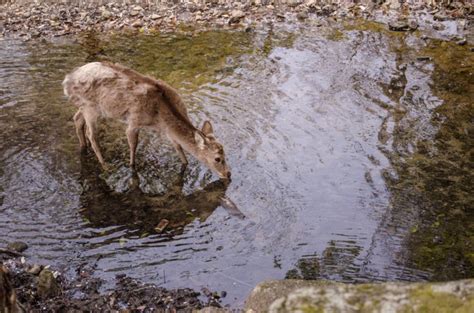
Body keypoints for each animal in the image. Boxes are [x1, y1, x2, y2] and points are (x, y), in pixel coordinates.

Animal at [62, 62, 232, 179]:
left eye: (226, 153)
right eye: (217, 158)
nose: (228, 174)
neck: (159, 119)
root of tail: (66, 80)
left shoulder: (169, 132)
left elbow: (178, 148)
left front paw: (185, 164)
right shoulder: (134, 121)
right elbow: (133, 145)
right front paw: (132, 167)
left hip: (86, 107)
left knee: (77, 119)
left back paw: (83, 147)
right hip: (91, 107)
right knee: (92, 135)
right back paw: (105, 165)